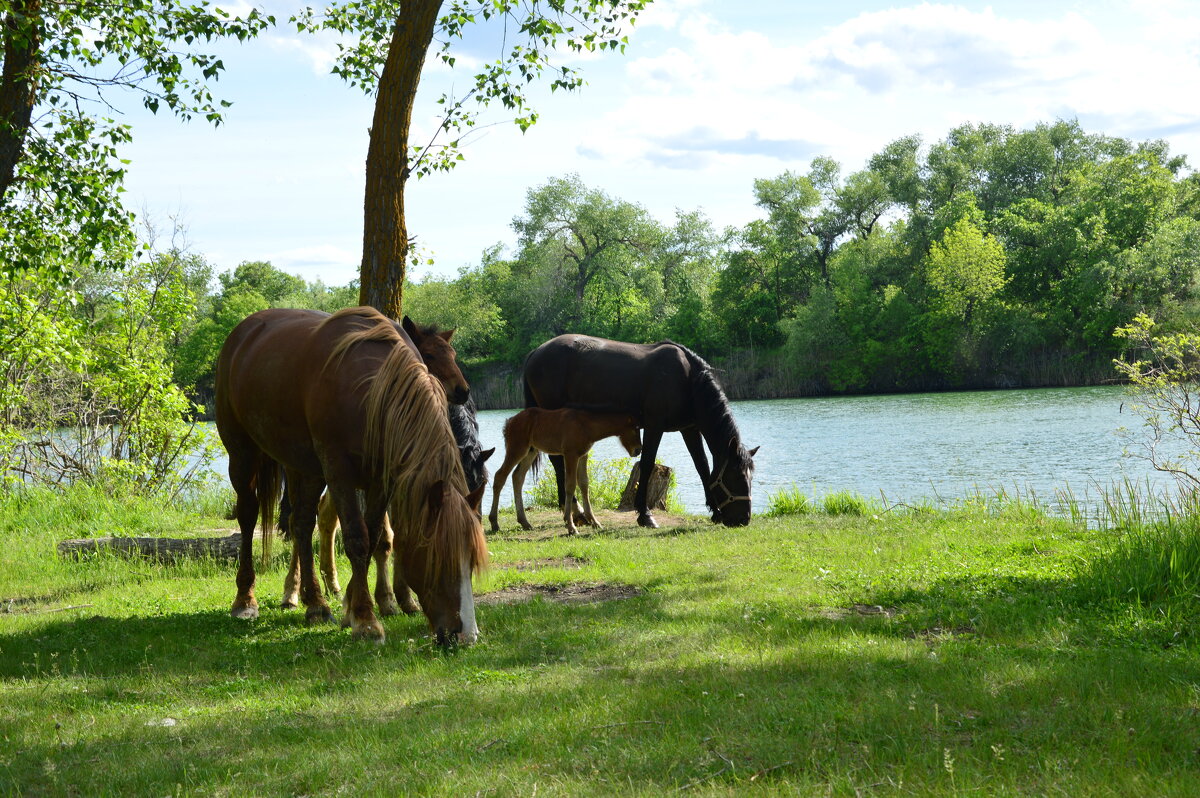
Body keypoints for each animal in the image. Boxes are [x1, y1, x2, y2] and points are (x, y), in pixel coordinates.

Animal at [216, 304, 487, 643]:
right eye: (440, 557)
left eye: (472, 559)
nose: (466, 634)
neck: (372, 392)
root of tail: (242, 332)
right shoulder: (340, 474)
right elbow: (357, 539)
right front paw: (366, 620)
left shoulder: (381, 482)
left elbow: (374, 538)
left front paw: (354, 606)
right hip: (243, 454)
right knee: (249, 515)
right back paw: (246, 600)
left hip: (303, 467)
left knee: (302, 524)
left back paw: (316, 604)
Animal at [520, 333, 753, 525]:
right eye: (737, 477)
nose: (743, 519)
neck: (687, 379)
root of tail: (535, 353)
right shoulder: (654, 426)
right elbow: (647, 464)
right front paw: (644, 514)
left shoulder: (689, 429)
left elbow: (702, 466)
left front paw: (716, 512)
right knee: (557, 462)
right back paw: (575, 511)